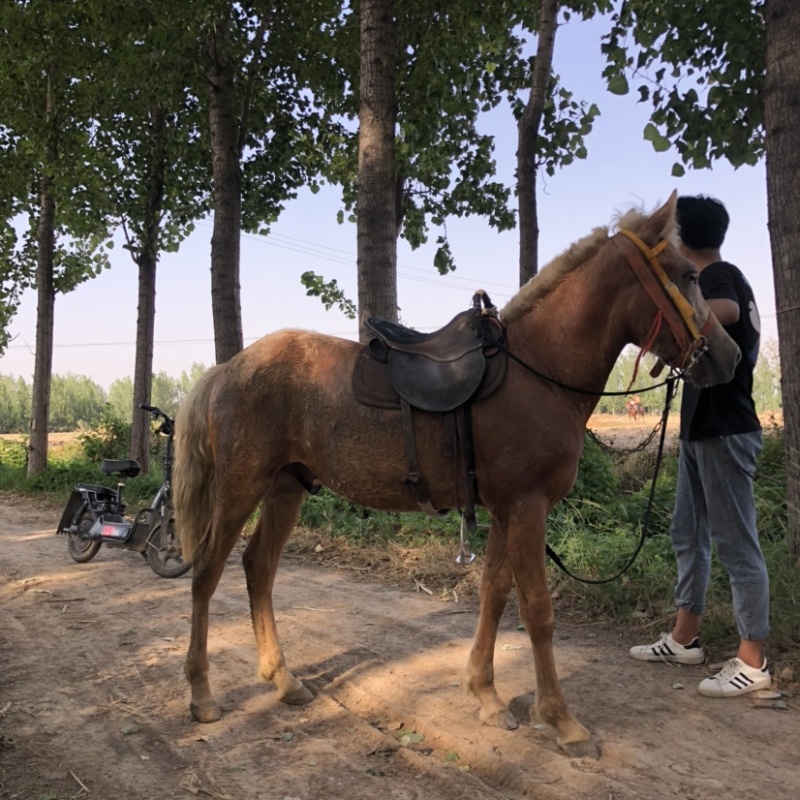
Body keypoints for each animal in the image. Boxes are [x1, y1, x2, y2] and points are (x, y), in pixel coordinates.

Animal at [172, 192, 740, 759]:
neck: (539, 370)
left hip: (286, 487)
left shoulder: (507, 508)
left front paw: (486, 695)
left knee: (258, 567)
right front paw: (561, 720)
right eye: (689, 274)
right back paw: (201, 694)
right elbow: (537, 610)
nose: (730, 356)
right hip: (241, 487)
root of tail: (226, 369)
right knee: (207, 574)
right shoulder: (528, 506)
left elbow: (494, 592)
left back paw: (284, 679)